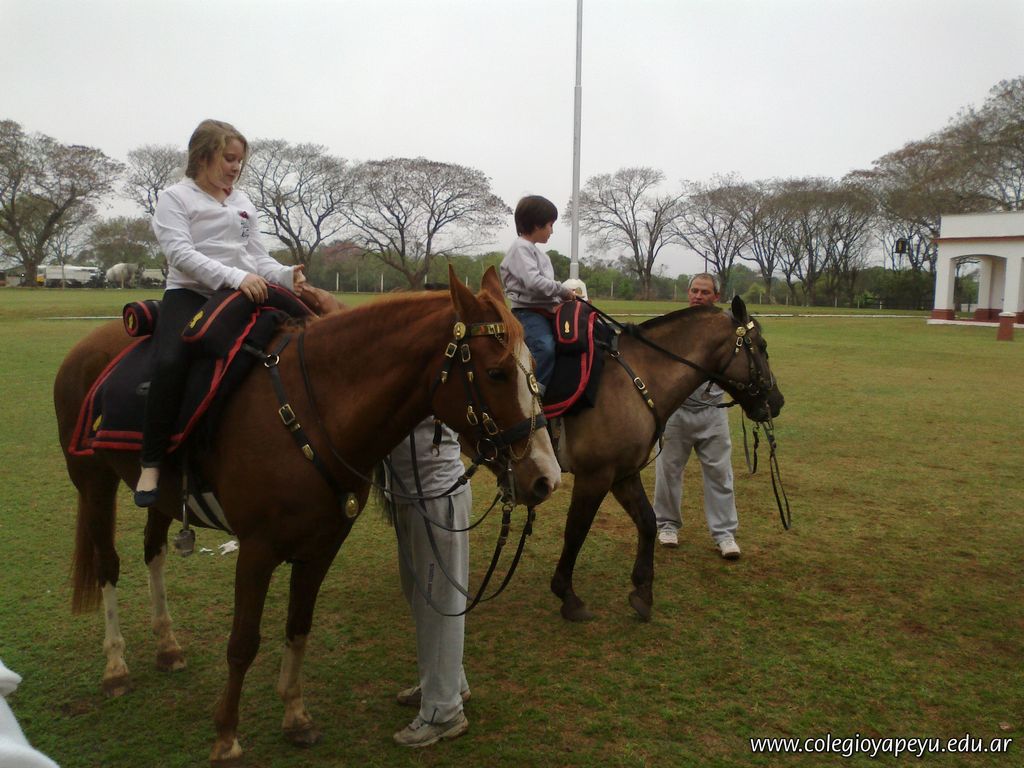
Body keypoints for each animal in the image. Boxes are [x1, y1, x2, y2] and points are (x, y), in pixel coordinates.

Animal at [53, 266, 560, 764]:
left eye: (535, 371)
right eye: (496, 372)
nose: (545, 477)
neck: (312, 412)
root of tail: (85, 348)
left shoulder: (321, 548)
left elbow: (298, 627)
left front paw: (296, 717)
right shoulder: (256, 551)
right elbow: (243, 643)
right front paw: (226, 735)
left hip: (158, 497)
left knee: (153, 552)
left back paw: (167, 646)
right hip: (94, 483)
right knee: (108, 565)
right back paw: (116, 667)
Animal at [550, 295, 784, 622]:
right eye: (761, 345)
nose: (777, 401)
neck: (631, 380)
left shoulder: (623, 473)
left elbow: (648, 522)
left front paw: (642, 592)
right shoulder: (594, 476)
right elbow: (576, 530)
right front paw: (567, 594)